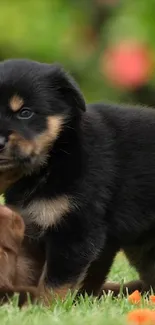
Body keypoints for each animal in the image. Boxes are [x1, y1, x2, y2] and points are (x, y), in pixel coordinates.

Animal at [0, 58, 154, 304]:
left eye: (25, 113)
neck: (55, 158)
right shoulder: (30, 231)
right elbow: (27, 274)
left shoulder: (75, 229)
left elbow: (55, 282)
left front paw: (46, 308)